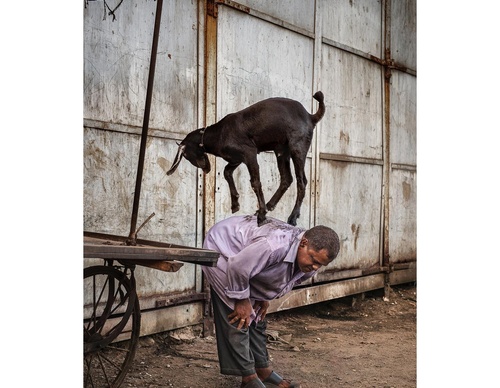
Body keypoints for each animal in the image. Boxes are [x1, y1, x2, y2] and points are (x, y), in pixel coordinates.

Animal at [166, 91, 326, 226]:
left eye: (186, 155)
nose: (206, 169)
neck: (218, 133)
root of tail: (310, 117)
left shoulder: (249, 152)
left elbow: (255, 182)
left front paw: (261, 215)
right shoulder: (236, 159)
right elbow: (226, 172)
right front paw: (235, 203)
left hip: (297, 146)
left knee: (301, 181)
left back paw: (292, 217)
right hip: (281, 150)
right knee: (287, 178)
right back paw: (270, 205)